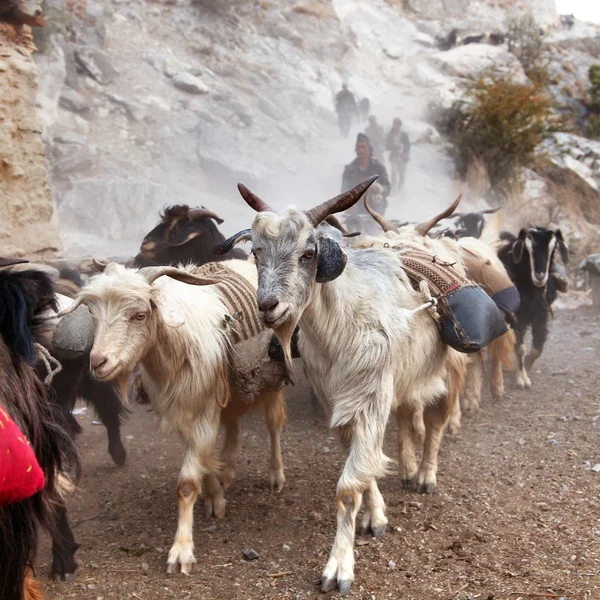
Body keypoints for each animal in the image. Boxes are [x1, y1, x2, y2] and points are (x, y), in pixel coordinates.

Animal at [220, 176, 468, 592]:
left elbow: (349, 486)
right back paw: (407, 468)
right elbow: (363, 466)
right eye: (255, 252)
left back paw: (425, 476)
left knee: (435, 423)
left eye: (308, 253)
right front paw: (376, 517)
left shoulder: (370, 395)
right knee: (407, 417)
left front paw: (338, 569)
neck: (343, 322)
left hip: (450, 369)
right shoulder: (336, 401)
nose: (268, 306)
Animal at [500, 225, 568, 390]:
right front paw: (522, 379)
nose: (540, 276)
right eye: (527, 247)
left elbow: (537, 349)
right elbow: (520, 347)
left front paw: (528, 364)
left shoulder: (541, 313)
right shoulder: (514, 316)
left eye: (553, 248)